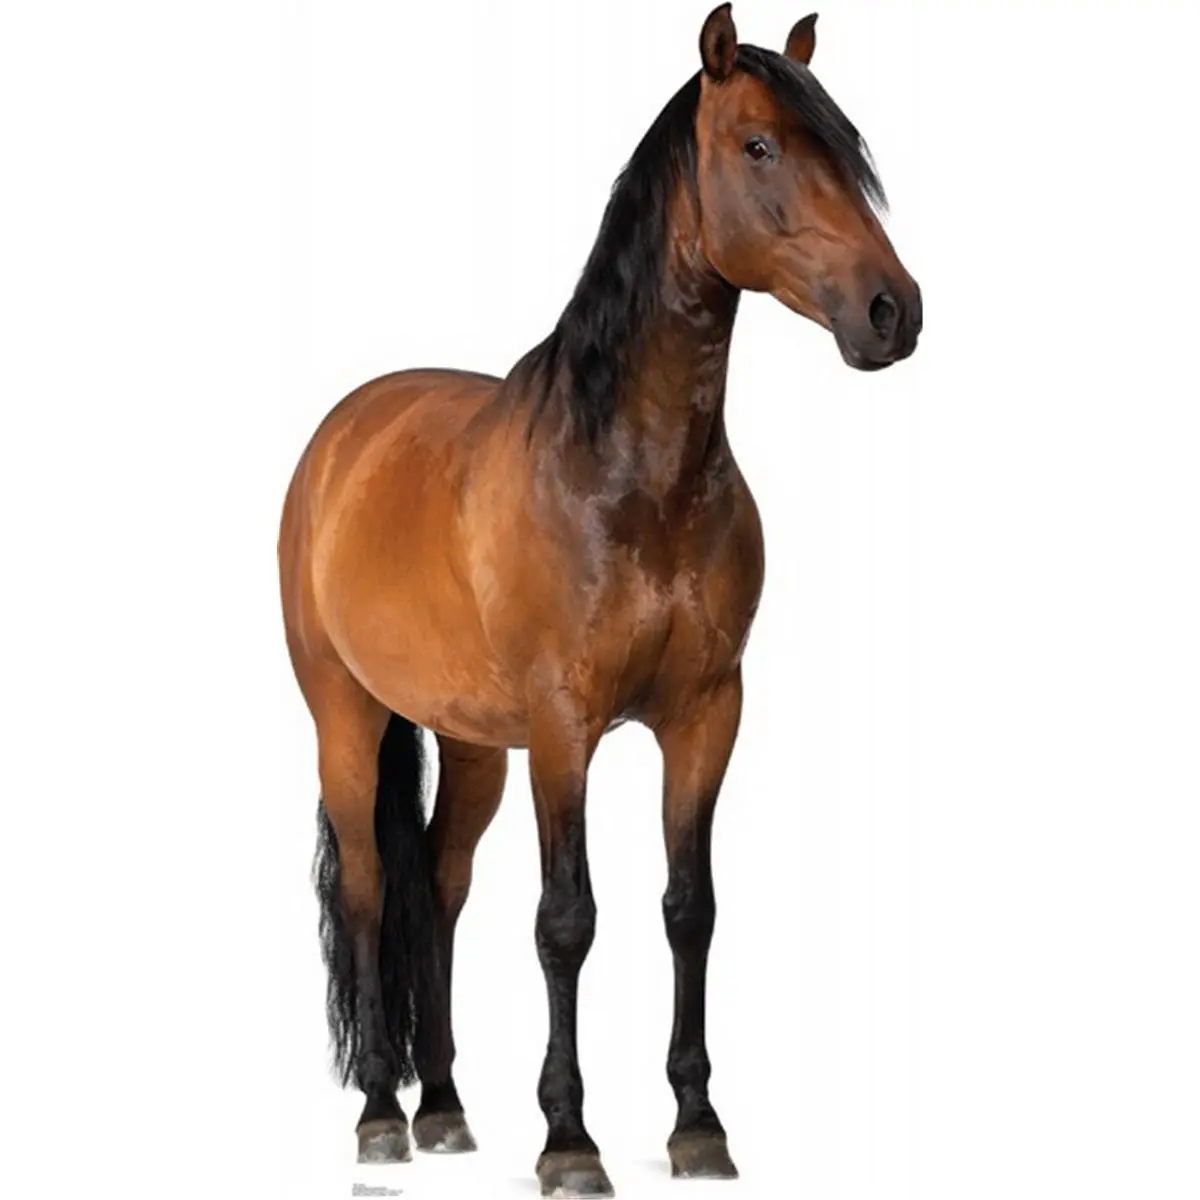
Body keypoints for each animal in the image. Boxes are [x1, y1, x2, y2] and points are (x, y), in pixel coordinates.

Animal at [279, 6, 920, 1195]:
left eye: (850, 150)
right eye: (760, 147)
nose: (891, 311)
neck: (629, 476)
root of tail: (342, 436)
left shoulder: (708, 714)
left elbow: (689, 909)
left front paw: (698, 1125)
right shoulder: (565, 728)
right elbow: (565, 920)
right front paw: (571, 1140)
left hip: (473, 745)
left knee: (439, 882)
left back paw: (446, 1107)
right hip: (346, 717)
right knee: (371, 890)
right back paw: (383, 1114)